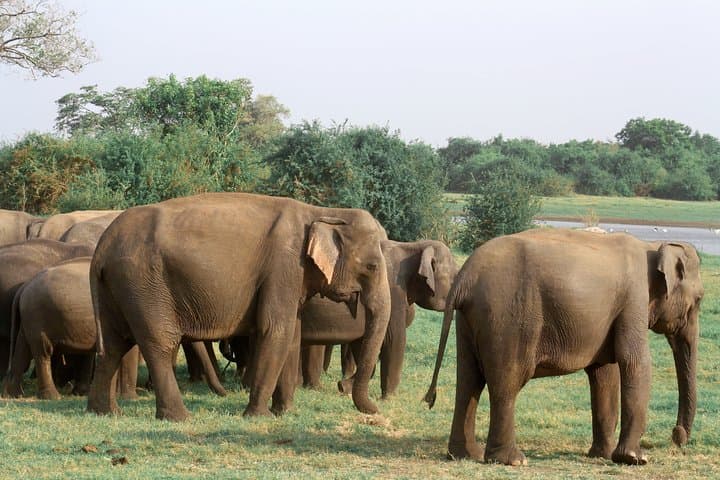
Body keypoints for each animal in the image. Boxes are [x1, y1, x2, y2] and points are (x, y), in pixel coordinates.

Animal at [87, 192, 391, 421]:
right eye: (372, 266)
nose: (374, 410)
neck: (321, 211)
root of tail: (101, 249)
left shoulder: (292, 275)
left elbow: (293, 334)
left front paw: (284, 412)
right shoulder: (283, 266)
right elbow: (276, 330)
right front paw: (259, 416)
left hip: (118, 286)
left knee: (113, 344)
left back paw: (105, 412)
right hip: (144, 282)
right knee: (159, 342)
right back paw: (179, 417)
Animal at [301, 239, 458, 397]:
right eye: (453, 280)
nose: (429, 397)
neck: (412, 246)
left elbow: (363, 344)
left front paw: (344, 387)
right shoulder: (393, 291)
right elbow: (395, 339)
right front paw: (388, 398)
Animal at [424, 229, 704, 466]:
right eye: (700, 299)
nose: (677, 436)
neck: (653, 245)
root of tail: (465, 277)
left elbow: (604, 372)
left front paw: (601, 455)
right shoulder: (634, 298)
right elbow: (634, 361)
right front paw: (635, 458)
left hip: (469, 319)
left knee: (469, 381)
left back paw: (464, 455)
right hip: (507, 318)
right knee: (506, 383)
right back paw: (513, 460)